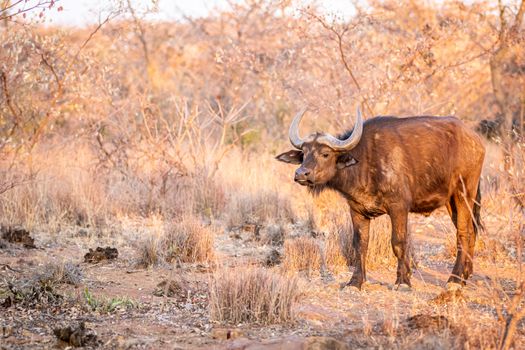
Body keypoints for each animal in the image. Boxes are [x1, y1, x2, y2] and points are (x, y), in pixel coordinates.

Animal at [276, 107, 486, 290]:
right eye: (304, 154)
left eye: (325, 154)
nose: (300, 174)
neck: (366, 162)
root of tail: (475, 140)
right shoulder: (357, 211)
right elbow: (360, 245)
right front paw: (355, 282)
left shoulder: (398, 207)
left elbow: (398, 242)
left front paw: (402, 281)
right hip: (452, 202)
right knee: (470, 231)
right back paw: (466, 275)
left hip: (464, 194)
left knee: (464, 233)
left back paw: (455, 279)